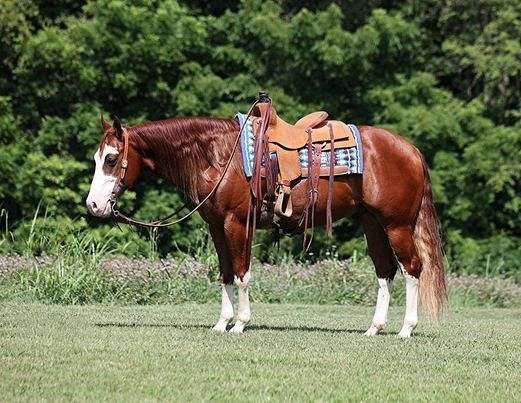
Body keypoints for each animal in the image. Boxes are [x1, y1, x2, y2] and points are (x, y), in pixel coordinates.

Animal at [87, 112, 444, 336]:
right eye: (96, 158)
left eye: (112, 159)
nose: (93, 205)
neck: (220, 156)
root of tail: (411, 150)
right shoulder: (217, 227)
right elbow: (225, 274)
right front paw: (222, 323)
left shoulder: (237, 224)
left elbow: (242, 274)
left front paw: (240, 323)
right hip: (373, 223)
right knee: (385, 272)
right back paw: (374, 328)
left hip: (397, 225)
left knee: (412, 268)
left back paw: (406, 329)